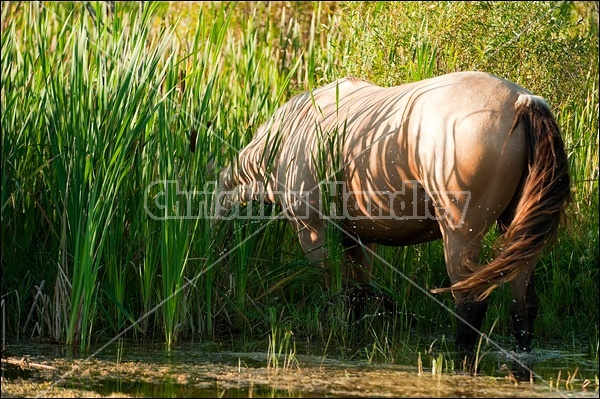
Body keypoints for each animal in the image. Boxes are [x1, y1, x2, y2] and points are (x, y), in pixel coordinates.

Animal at [212, 71, 572, 372]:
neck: (288, 134)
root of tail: (521, 102)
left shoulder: (313, 233)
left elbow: (338, 294)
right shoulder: (357, 239)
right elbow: (357, 294)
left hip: (460, 234)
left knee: (470, 304)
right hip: (518, 235)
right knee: (523, 305)